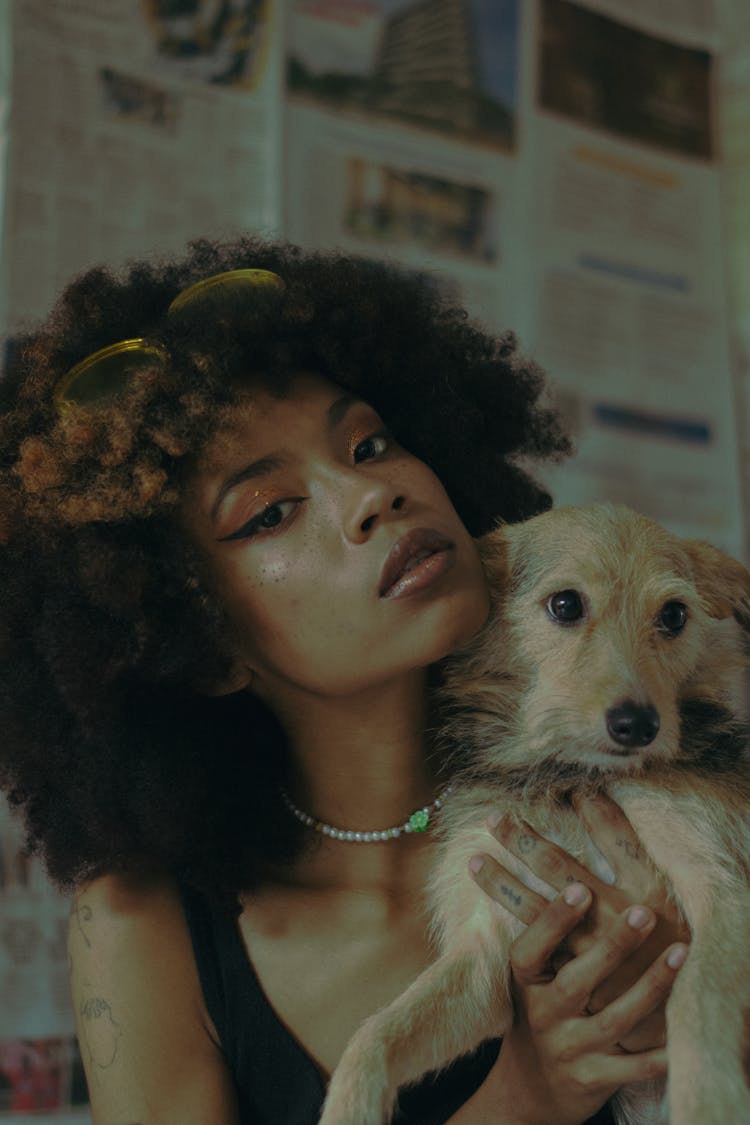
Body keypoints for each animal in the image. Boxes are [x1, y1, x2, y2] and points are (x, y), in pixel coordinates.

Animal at [319, 506, 750, 1125]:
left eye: (674, 615)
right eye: (565, 604)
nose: (639, 726)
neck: (569, 778)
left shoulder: (724, 893)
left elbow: (697, 999)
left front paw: (710, 1099)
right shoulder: (481, 956)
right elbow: (379, 1031)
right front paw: (348, 1106)